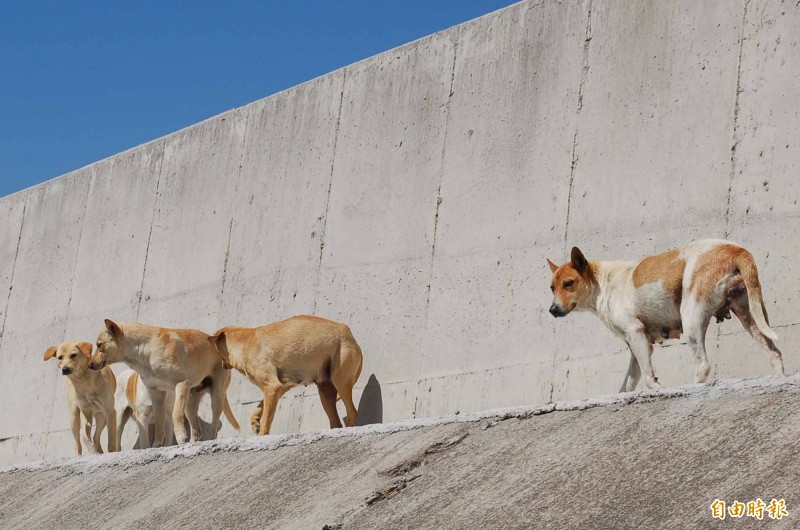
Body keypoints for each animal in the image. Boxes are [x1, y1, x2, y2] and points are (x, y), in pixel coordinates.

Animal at [90, 318, 241, 446]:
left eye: (99, 345)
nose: (90, 365)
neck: (145, 350)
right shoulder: (156, 395)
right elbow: (159, 423)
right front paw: (157, 444)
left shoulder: (181, 384)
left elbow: (175, 414)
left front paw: (180, 435)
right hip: (190, 403)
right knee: (197, 430)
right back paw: (192, 443)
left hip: (216, 395)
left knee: (214, 425)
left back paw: (208, 440)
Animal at [209, 314, 366, 434]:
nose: (221, 366)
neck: (243, 342)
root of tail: (349, 334)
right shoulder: (280, 387)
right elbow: (260, 407)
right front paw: (255, 422)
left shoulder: (272, 386)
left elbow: (267, 418)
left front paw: (262, 434)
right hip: (325, 390)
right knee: (335, 420)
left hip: (340, 379)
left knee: (352, 411)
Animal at [548, 237, 784, 390]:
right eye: (552, 288)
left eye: (568, 283)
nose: (552, 310)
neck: (602, 282)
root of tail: (734, 249)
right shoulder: (637, 345)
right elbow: (627, 386)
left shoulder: (635, 333)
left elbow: (649, 379)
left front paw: (659, 387)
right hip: (750, 315)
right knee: (774, 353)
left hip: (691, 318)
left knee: (703, 366)